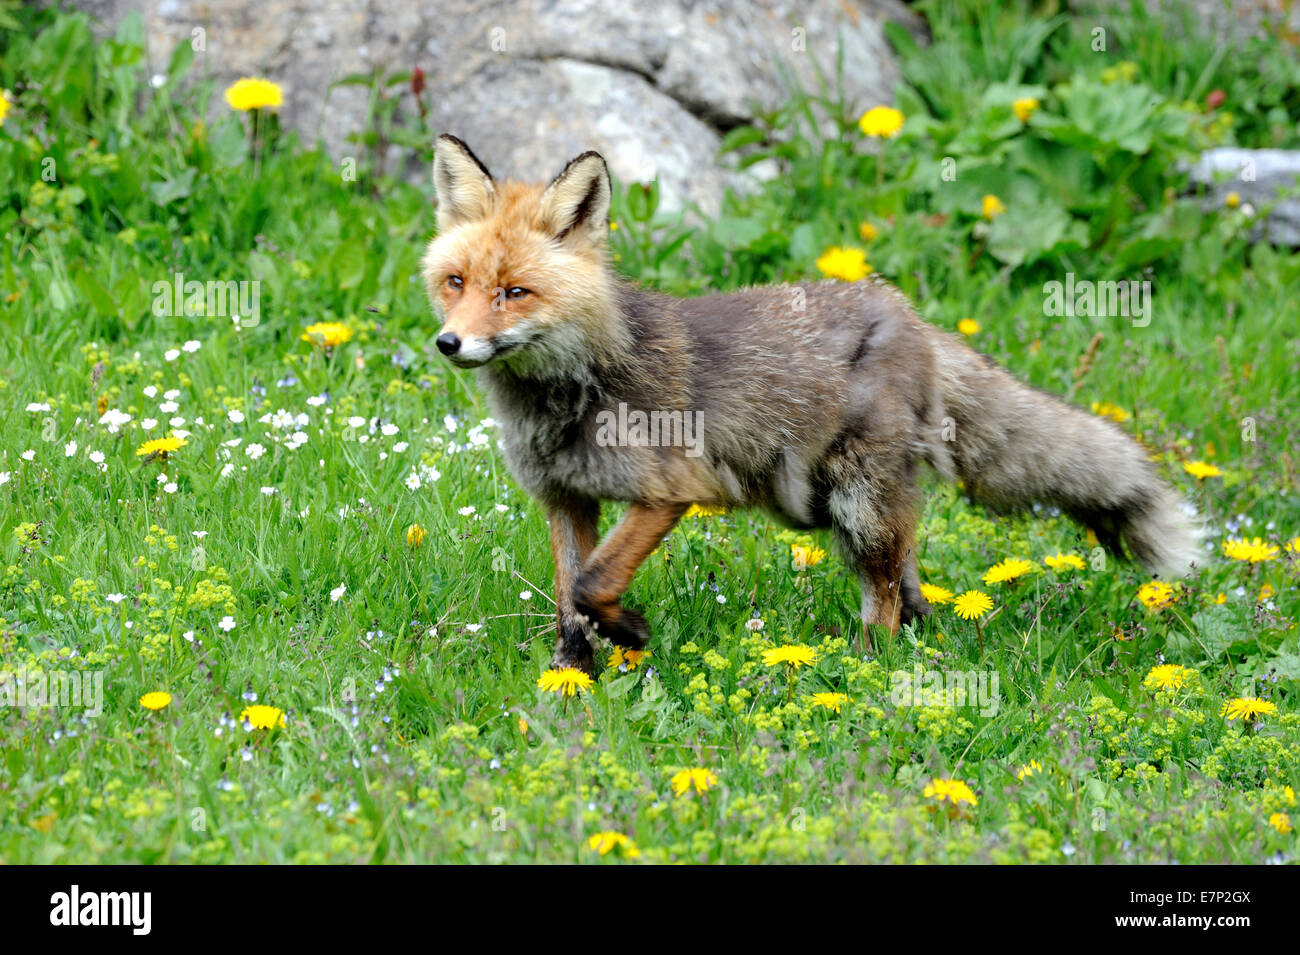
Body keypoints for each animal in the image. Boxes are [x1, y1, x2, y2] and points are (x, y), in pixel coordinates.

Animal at [423, 134, 1196, 675]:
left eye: (515, 292)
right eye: (456, 282)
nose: (448, 342)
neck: (580, 384)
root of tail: (909, 314)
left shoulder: (670, 489)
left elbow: (591, 585)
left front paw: (631, 633)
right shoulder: (566, 499)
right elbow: (568, 601)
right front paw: (570, 681)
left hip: (856, 503)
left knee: (883, 595)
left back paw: (865, 670)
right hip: (838, 506)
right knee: (910, 584)